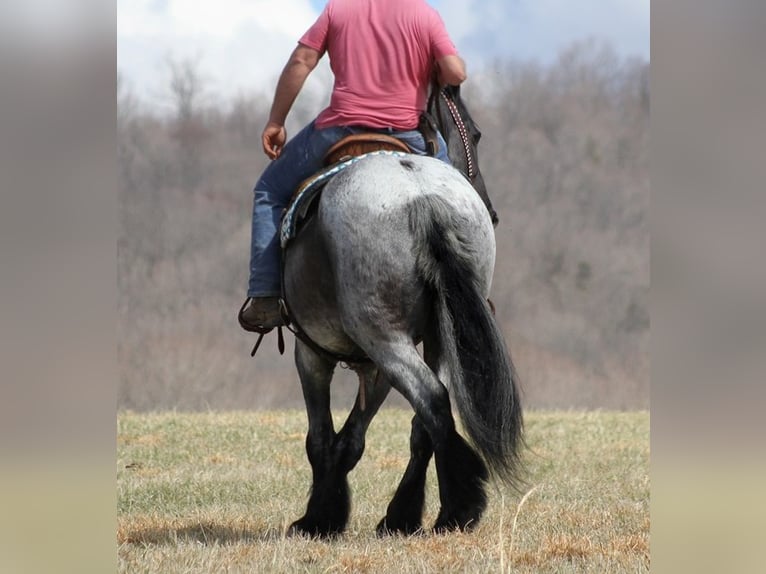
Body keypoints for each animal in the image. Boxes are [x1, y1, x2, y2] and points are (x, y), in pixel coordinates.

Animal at [282, 88, 528, 536]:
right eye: (476, 133)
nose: (493, 212)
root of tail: (421, 196)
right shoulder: (375, 364)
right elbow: (353, 438)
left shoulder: (312, 351)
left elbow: (321, 437)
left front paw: (318, 517)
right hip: (426, 339)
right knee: (429, 415)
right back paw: (413, 513)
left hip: (384, 338)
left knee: (432, 400)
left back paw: (457, 508)